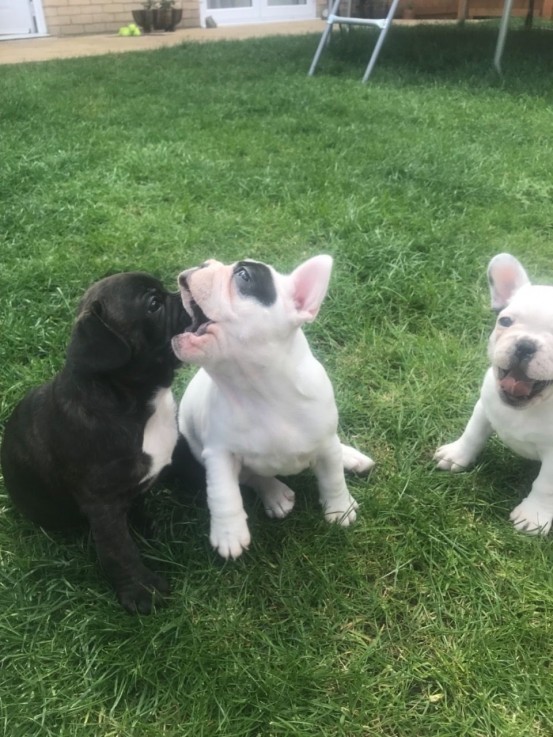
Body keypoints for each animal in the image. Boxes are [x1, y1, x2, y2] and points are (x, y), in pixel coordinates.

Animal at [0, 274, 190, 612]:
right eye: (154, 304)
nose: (186, 292)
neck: (135, 399)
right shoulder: (102, 504)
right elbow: (119, 551)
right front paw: (141, 592)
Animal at [170, 254, 374, 556]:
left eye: (243, 276)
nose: (204, 264)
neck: (259, 388)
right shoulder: (218, 453)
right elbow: (222, 492)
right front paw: (229, 533)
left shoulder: (325, 441)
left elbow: (333, 477)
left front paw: (340, 509)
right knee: (252, 477)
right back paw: (275, 494)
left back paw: (350, 457)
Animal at [438, 253, 553, 536]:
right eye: (505, 321)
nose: (525, 345)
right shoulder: (484, 407)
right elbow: (472, 434)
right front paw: (456, 456)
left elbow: (545, 485)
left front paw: (533, 515)